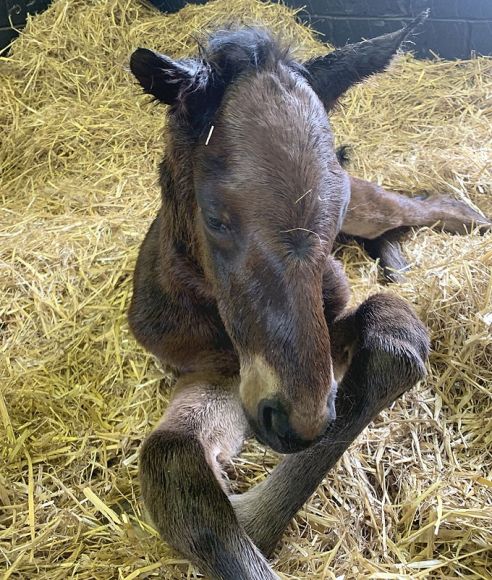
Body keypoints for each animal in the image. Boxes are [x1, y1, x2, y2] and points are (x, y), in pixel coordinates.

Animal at [128, 13, 492, 580]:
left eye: (332, 205)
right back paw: (396, 264)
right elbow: (174, 459)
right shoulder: (210, 373)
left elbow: (398, 339)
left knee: (432, 205)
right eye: (215, 218)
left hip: (370, 205)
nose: (298, 419)